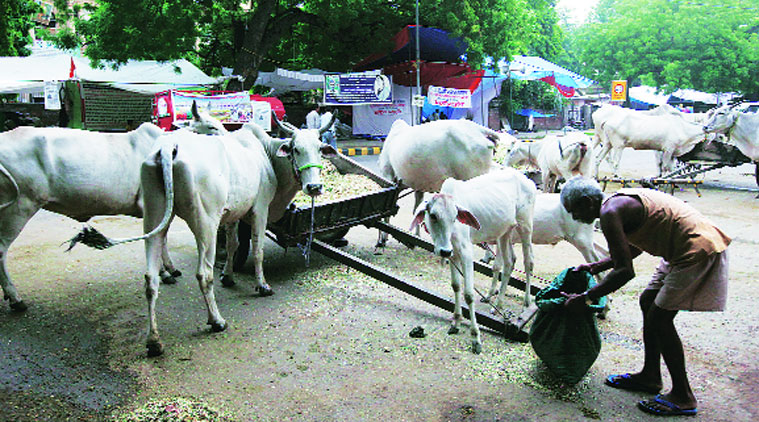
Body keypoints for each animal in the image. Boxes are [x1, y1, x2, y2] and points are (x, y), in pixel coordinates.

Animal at [0, 123, 181, 312]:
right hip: (20, 206)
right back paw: (16, 298)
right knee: (1, 250)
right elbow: (157, 238)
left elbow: (162, 238)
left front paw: (170, 268)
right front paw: (164, 272)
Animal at [71, 115, 338, 356]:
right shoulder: (259, 209)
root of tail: (168, 147)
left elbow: (233, 244)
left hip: (155, 216)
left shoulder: (232, 214)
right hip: (206, 222)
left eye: (320, 150)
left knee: (150, 277)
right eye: (295, 149)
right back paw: (216, 320)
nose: (314, 187)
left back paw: (154, 341)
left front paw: (228, 276)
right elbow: (257, 251)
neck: (265, 153)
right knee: (203, 274)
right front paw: (262, 285)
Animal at [378, 118, 512, 244]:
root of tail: (480, 130)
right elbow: (417, 208)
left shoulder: (387, 174)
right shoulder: (419, 186)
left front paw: (382, 238)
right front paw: (416, 235)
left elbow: (386, 211)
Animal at [410, 166, 536, 354]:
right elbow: (456, 286)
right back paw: (497, 305)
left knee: (528, 262)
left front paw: (475, 338)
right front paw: (456, 321)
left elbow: (468, 294)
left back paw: (526, 304)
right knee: (509, 262)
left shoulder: (466, 252)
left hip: (526, 226)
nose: (444, 250)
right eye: (432, 215)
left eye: (454, 217)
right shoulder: (453, 254)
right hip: (505, 231)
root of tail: (526, 179)